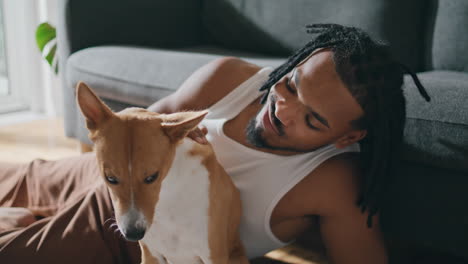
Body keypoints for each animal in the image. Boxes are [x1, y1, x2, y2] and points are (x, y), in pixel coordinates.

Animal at [77, 81, 249, 262]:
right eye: (110, 178)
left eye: (152, 177)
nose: (133, 234)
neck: (168, 194)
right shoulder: (150, 255)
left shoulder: (214, 256)